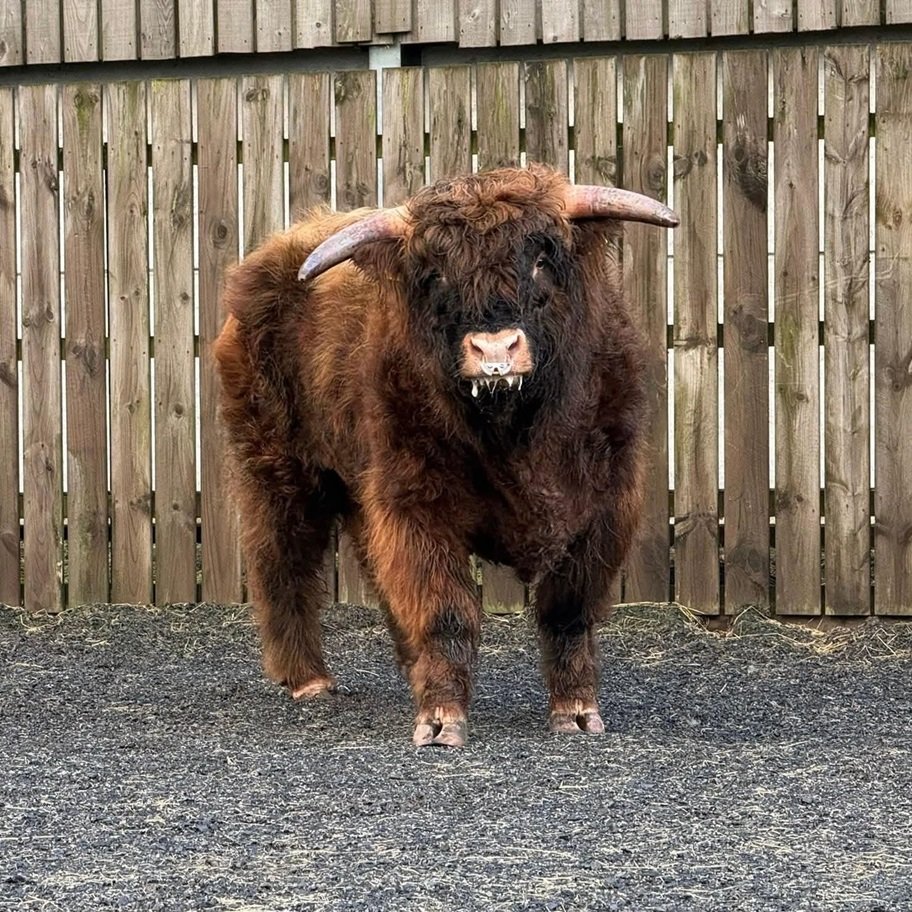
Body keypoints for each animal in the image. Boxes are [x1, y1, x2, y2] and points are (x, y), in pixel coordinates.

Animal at [213, 164, 678, 747]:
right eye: (436, 275)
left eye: (541, 260)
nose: (495, 351)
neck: (517, 433)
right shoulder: (417, 507)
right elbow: (444, 610)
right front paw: (440, 721)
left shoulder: (604, 508)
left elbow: (567, 612)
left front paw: (576, 712)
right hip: (279, 469)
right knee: (282, 558)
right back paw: (307, 679)